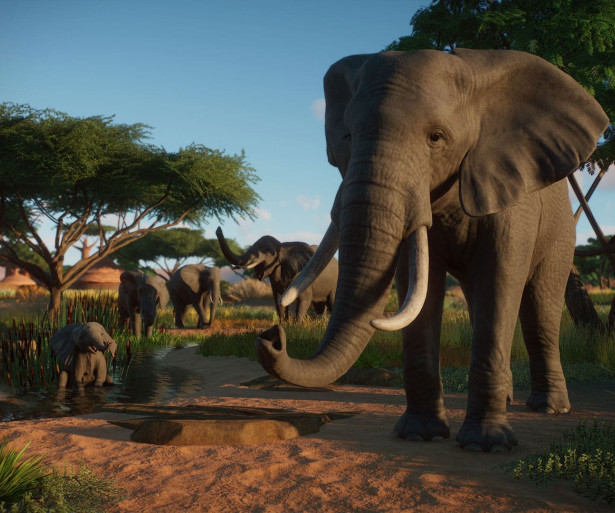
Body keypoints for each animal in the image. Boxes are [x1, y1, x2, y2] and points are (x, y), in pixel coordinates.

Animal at [255, 50, 612, 450]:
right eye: (347, 136)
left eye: (436, 138)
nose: (272, 336)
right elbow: (418, 291)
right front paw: (420, 434)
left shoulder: (508, 198)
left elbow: (500, 281)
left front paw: (486, 444)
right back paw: (507, 400)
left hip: (561, 230)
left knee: (541, 308)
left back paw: (549, 407)